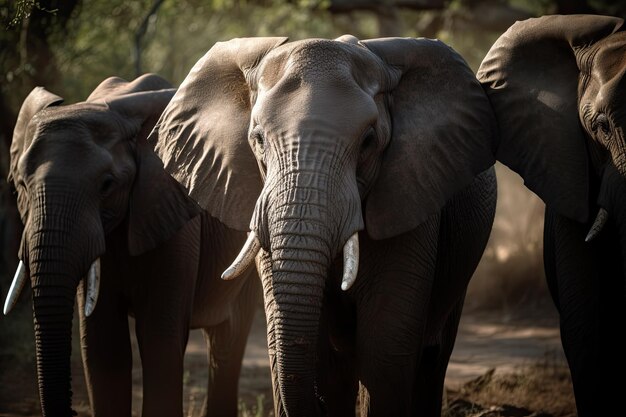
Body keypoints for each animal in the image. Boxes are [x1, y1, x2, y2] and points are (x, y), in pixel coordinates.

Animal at [4, 74, 260, 416]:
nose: (73, 410)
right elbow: (103, 345)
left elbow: (159, 339)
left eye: (107, 185)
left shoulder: (173, 215)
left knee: (229, 338)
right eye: (20, 185)